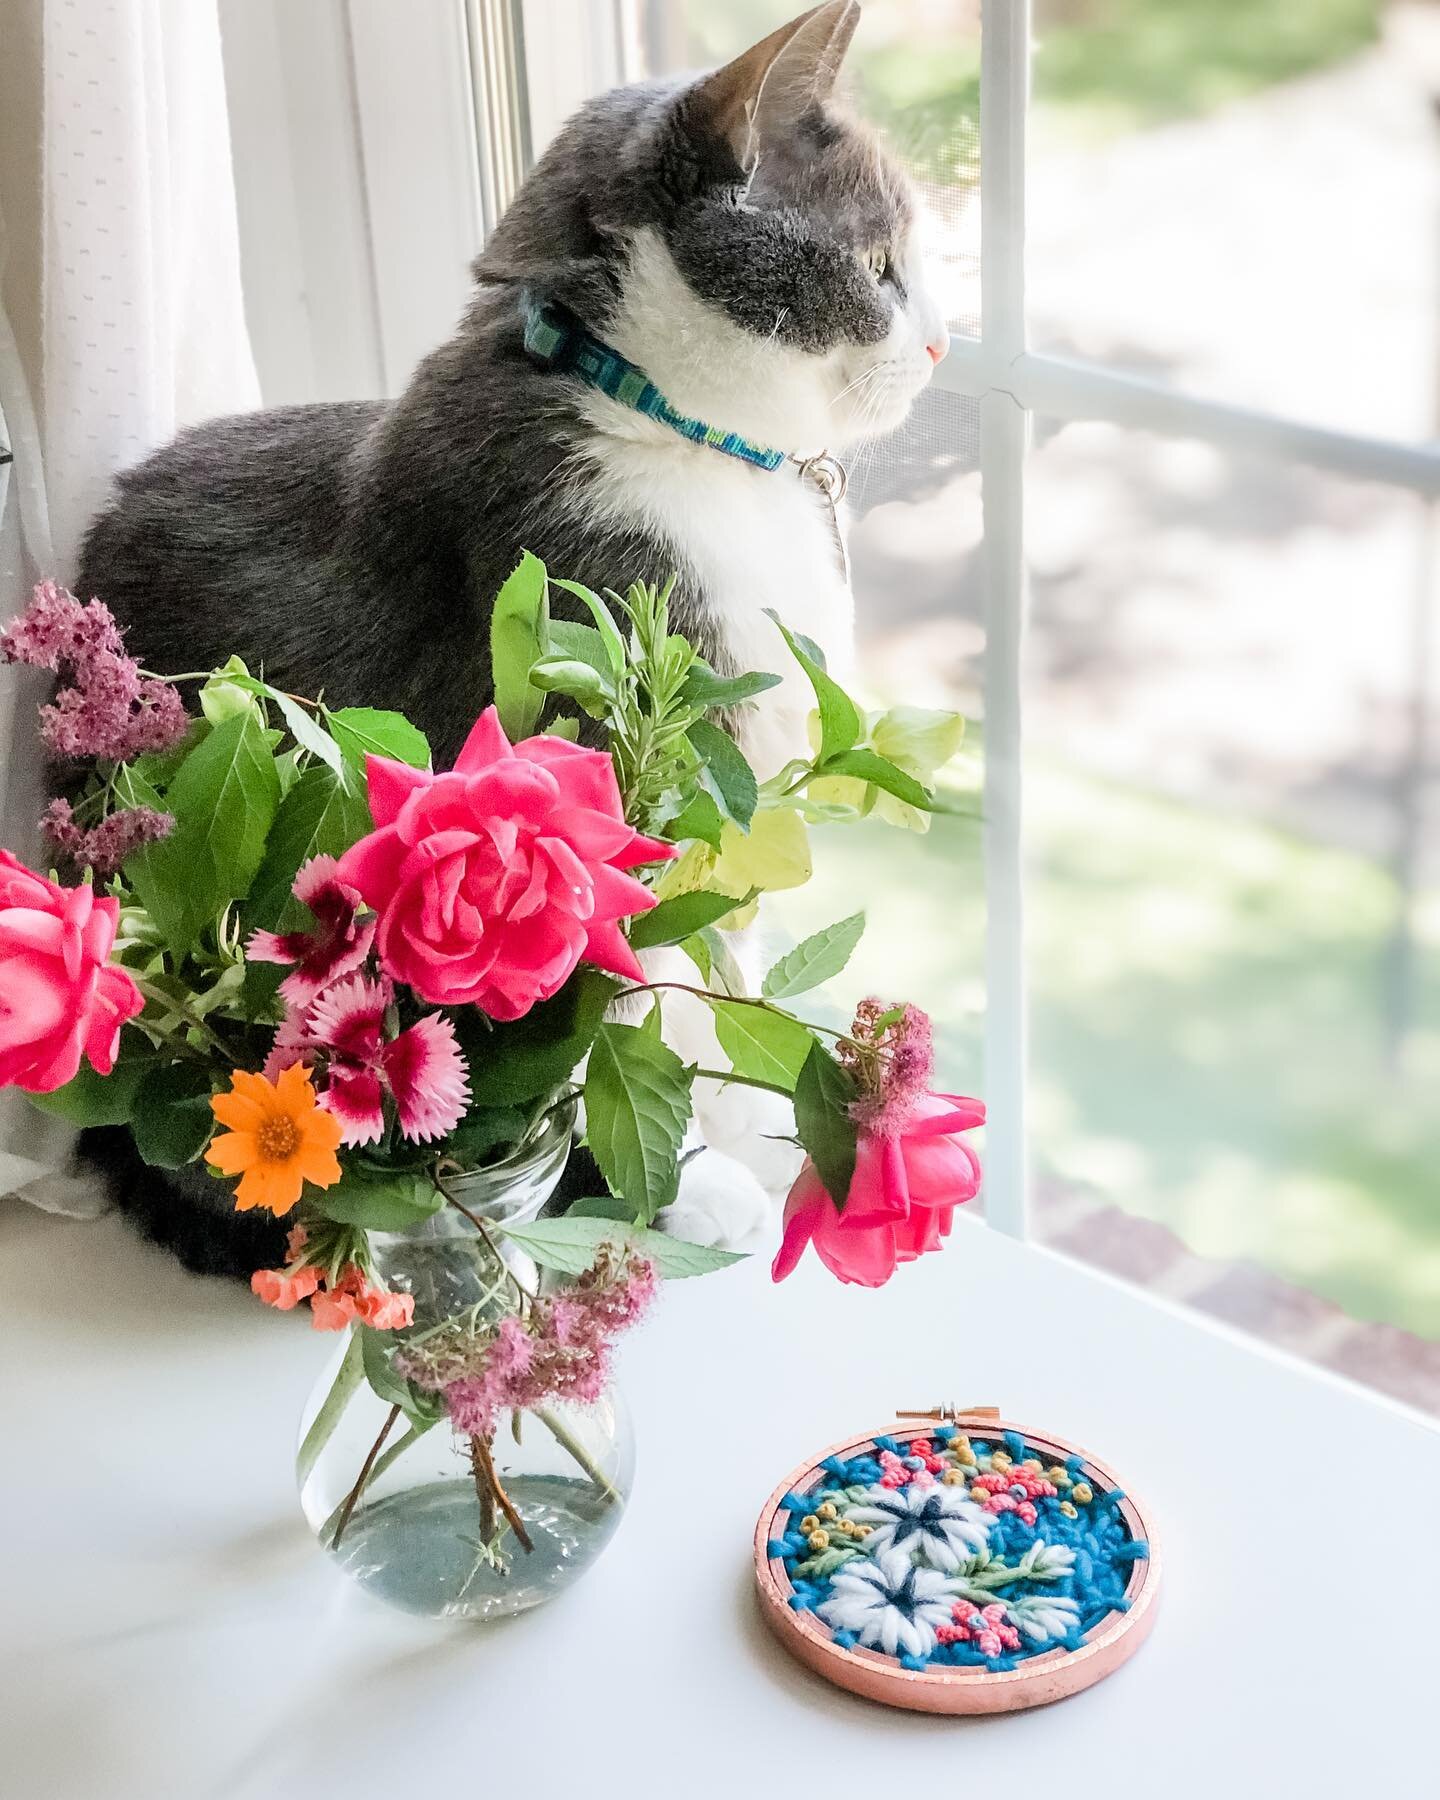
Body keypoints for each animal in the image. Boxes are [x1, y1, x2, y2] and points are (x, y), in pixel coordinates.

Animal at [76, 0, 943, 1274]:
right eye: (881, 266)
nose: (939, 349)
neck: (649, 413)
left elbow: (725, 952)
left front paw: (755, 1114)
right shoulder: (610, 733)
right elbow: (631, 995)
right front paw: (678, 1186)